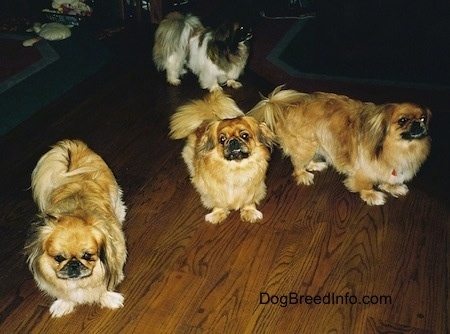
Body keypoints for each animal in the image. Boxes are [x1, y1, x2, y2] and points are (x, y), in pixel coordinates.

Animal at [24, 140, 127, 318]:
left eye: (88, 256)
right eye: (58, 258)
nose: (73, 265)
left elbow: (104, 287)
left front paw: (108, 298)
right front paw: (63, 304)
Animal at [169, 90, 274, 223]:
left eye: (244, 135)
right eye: (222, 139)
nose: (233, 141)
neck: (236, 169)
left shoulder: (253, 188)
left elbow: (248, 202)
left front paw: (249, 212)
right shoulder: (214, 191)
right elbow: (218, 203)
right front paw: (218, 214)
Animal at [248, 86, 430, 205]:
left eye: (422, 118)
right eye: (403, 120)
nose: (417, 124)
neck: (399, 147)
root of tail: (283, 106)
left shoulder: (390, 167)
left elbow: (388, 178)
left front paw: (393, 187)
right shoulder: (365, 169)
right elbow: (366, 184)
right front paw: (372, 195)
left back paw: (315, 165)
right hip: (306, 146)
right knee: (297, 164)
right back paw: (304, 175)